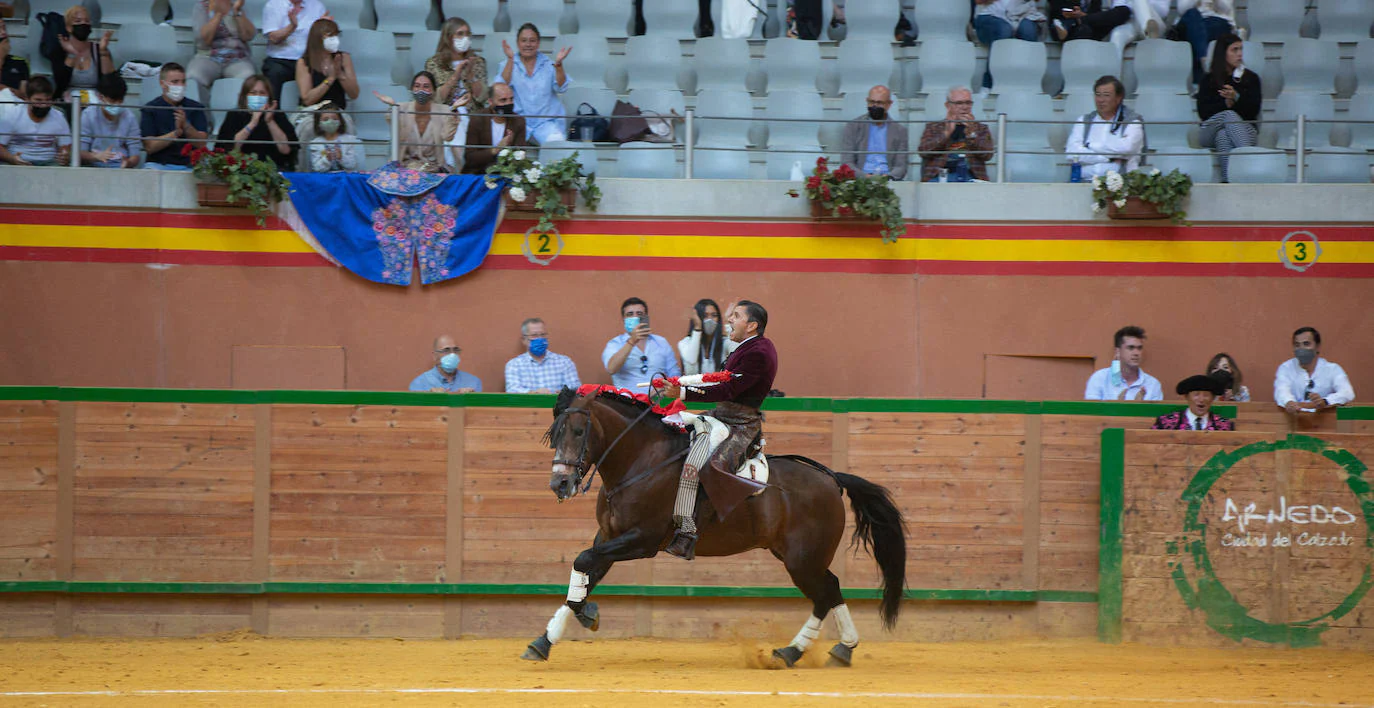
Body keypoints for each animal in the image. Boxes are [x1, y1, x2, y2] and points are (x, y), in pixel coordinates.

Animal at [519, 390, 906, 668]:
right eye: (554, 434)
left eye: (579, 431)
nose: (560, 483)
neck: (641, 460)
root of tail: (832, 479)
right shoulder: (610, 537)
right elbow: (587, 570)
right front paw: (545, 640)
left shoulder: (641, 540)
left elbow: (583, 561)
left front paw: (586, 613)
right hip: (798, 557)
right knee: (832, 589)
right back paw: (835, 649)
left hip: (802, 560)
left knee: (824, 594)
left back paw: (797, 651)